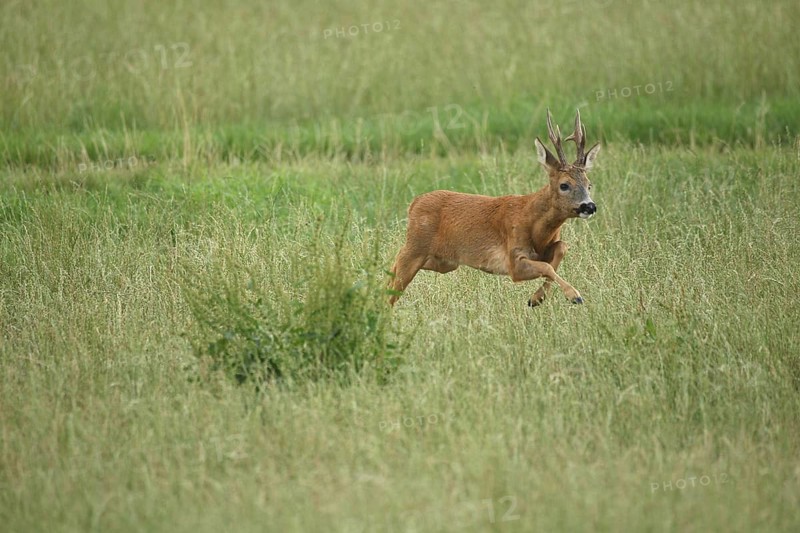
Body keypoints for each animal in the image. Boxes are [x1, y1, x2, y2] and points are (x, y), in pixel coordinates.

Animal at [388, 109, 600, 307]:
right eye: (564, 185)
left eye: (589, 184)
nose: (589, 206)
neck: (534, 225)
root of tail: (414, 203)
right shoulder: (513, 260)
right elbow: (546, 267)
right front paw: (574, 295)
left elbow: (561, 249)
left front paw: (536, 298)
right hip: (416, 247)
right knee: (396, 278)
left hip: (443, 262)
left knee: (395, 265)